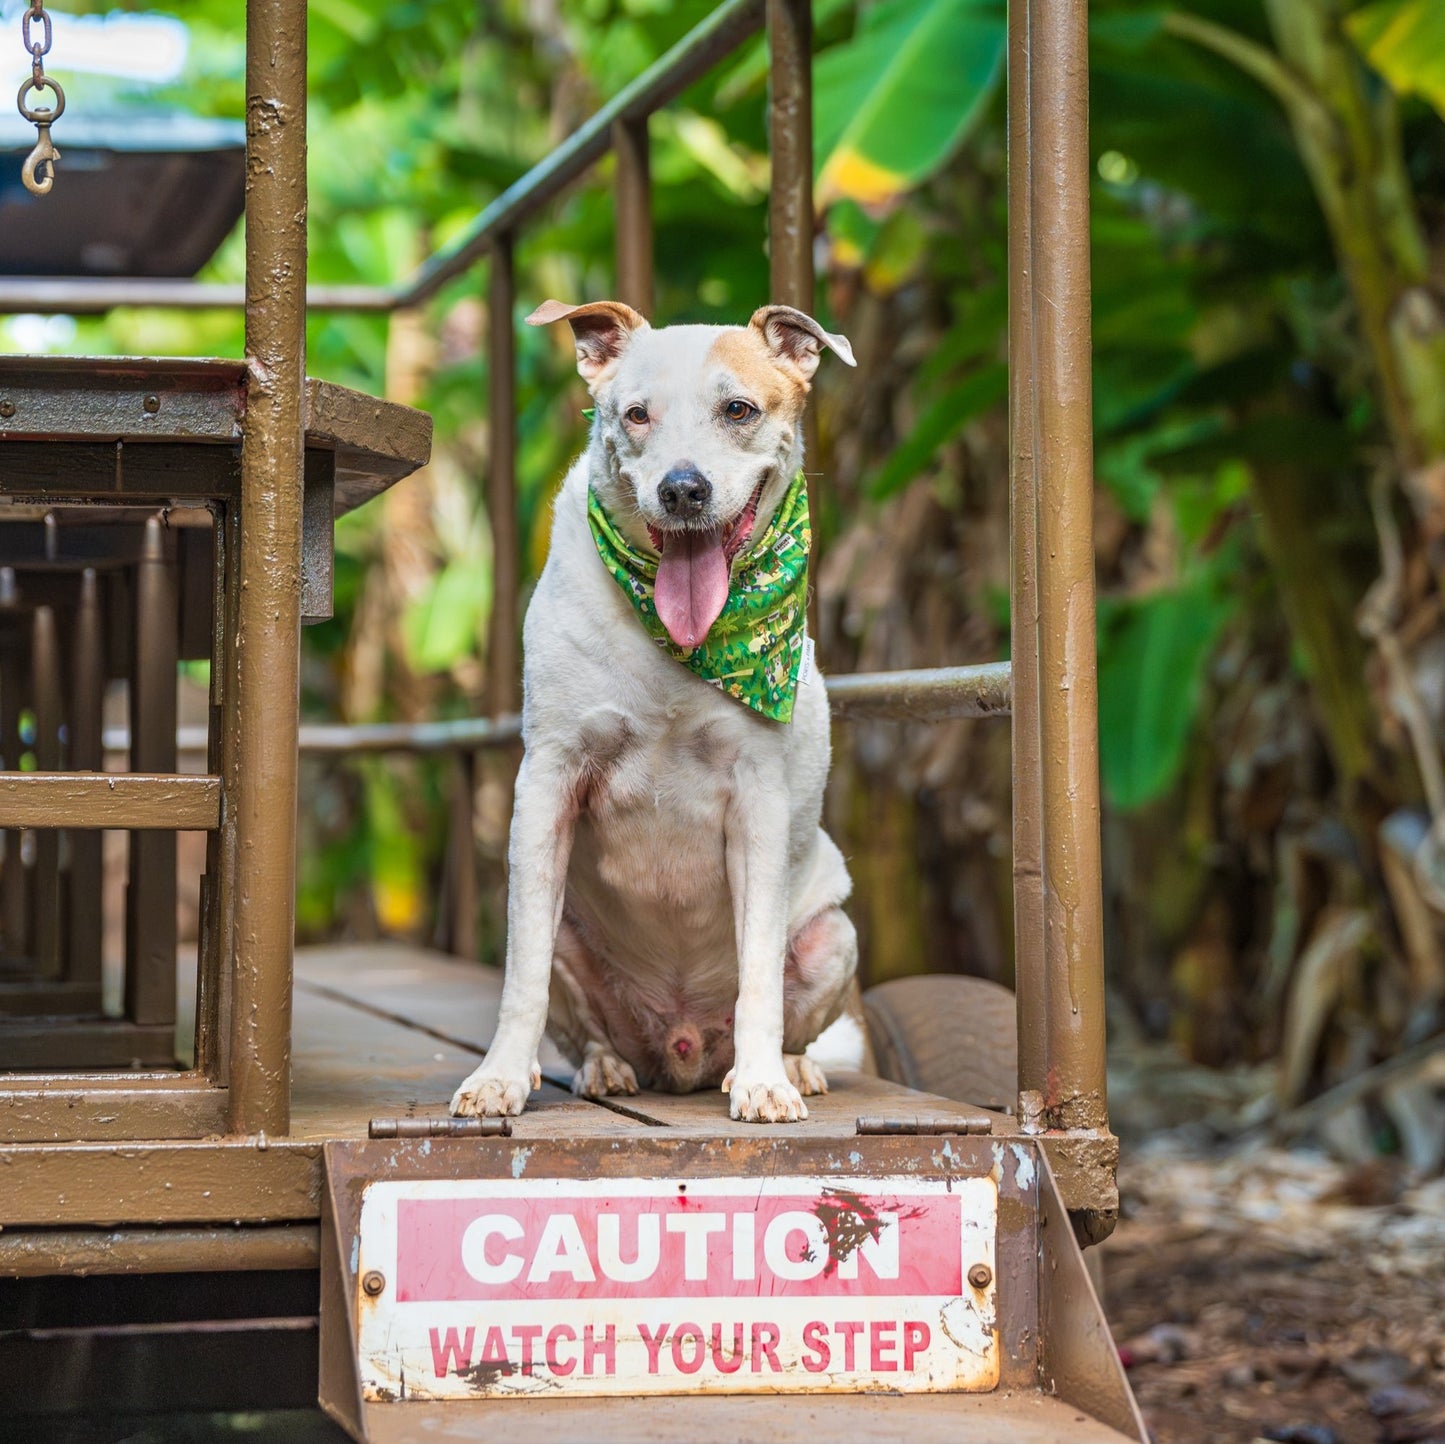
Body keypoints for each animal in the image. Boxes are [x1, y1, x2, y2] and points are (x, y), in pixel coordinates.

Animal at [447, 299, 855, 1121]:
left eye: (738, 410)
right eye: (635, 415)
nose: (682, 490)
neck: (685, 643)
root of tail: (683, 1049)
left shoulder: (759, 798)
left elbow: (759, 970)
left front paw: (764, 1083)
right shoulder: (548, 782)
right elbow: (522, 971)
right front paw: (499, 1076)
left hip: (835, 934)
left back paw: (789, 1067)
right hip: (576, 941)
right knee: (580, 1014)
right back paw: (605, 1068)